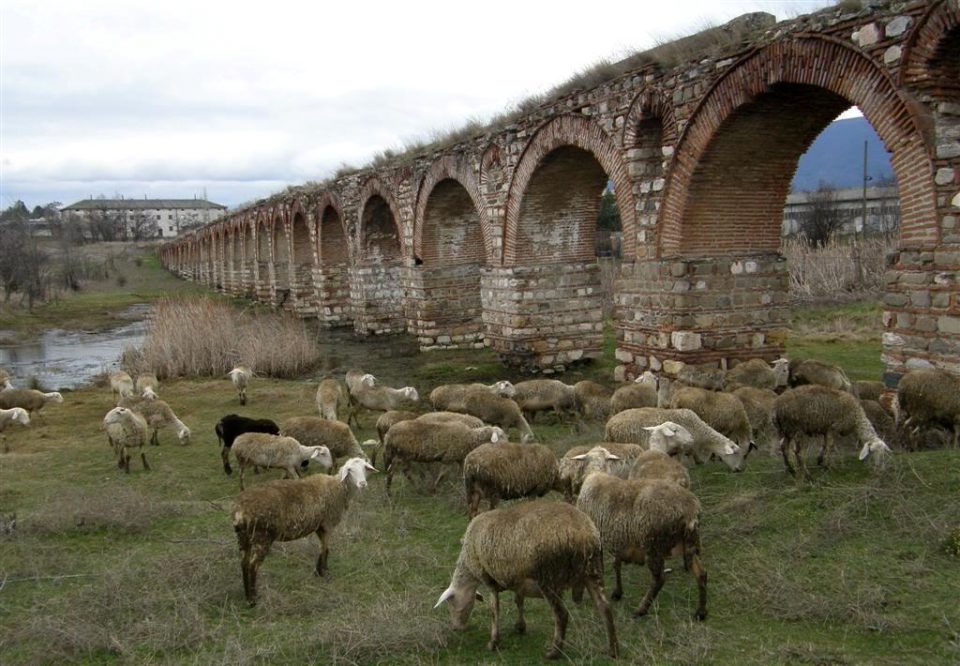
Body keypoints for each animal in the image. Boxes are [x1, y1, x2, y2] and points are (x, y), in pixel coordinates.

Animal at [232, 456, 378, 600]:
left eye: (365, 468)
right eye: (350, 470)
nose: (363, 484)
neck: (339, 488)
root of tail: (240, 510)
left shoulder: (319, 526)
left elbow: (322, 549)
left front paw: (318, 572)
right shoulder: (328, 524)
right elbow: (325, 549)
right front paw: (325, 572)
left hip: (244, 537)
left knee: (244, 563)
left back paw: (247, 596)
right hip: (262, 537)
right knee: (252, 566)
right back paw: (253, 599)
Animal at [434, 498, 620, 660]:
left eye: (450, 604)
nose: (455, 628)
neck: (468, 565)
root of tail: (585, 533)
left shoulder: (489, 579)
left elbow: (494, 610)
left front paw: (493, 642)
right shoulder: (518, 579)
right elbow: (519, 601)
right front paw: (520, 626)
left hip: (549, 579)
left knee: (561, 615)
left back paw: (554, 652)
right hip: (592, 571)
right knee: (605, 607)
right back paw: (612, 650)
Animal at [572, 446, 708, 616]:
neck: (596, 473)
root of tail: (690, 512)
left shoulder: (597, 539)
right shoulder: (618, 539)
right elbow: (616, 564)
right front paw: (617, 592)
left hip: (653, 545)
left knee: (659, 579)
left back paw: (641, 609)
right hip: (689, 542)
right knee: (701, 574)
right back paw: (701, 612)